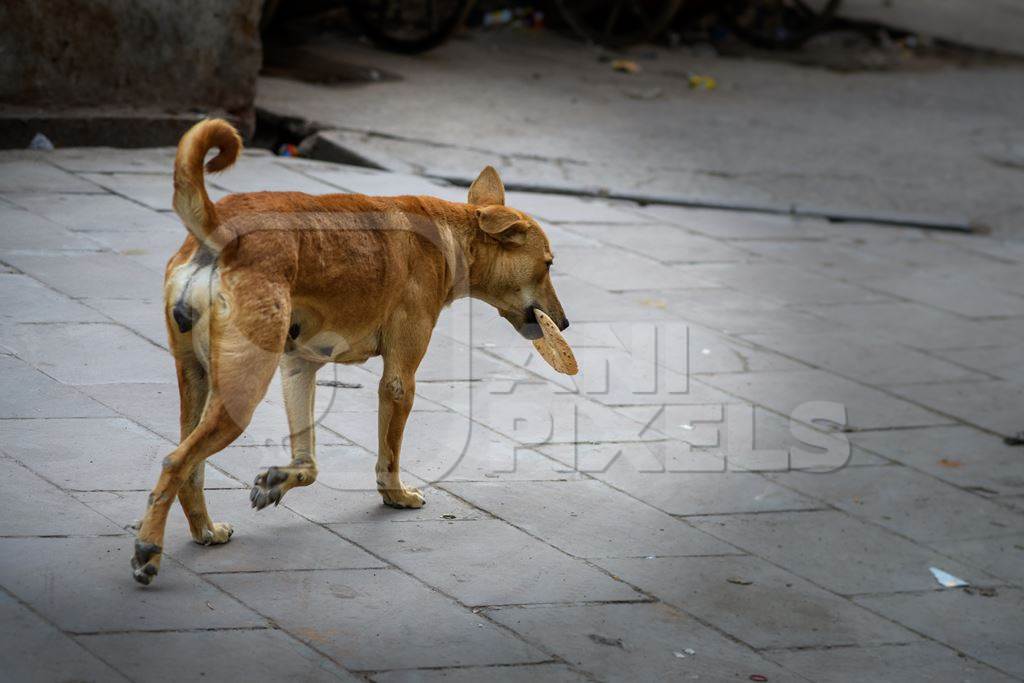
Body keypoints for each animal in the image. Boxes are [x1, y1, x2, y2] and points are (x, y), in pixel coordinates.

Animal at [130, 120, 569, 585]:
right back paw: (148, 549)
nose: (565, 323)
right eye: (548, 264)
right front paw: (396, 495)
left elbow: (308, 462)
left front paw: (278, 480)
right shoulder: (399, 380)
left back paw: (205, 531)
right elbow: (389, 453)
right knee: (175, 462)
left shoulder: (299, 368)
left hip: (197, 380)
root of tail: (222, 228)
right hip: (239, 396)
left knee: (189, 467)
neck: (450, 233)